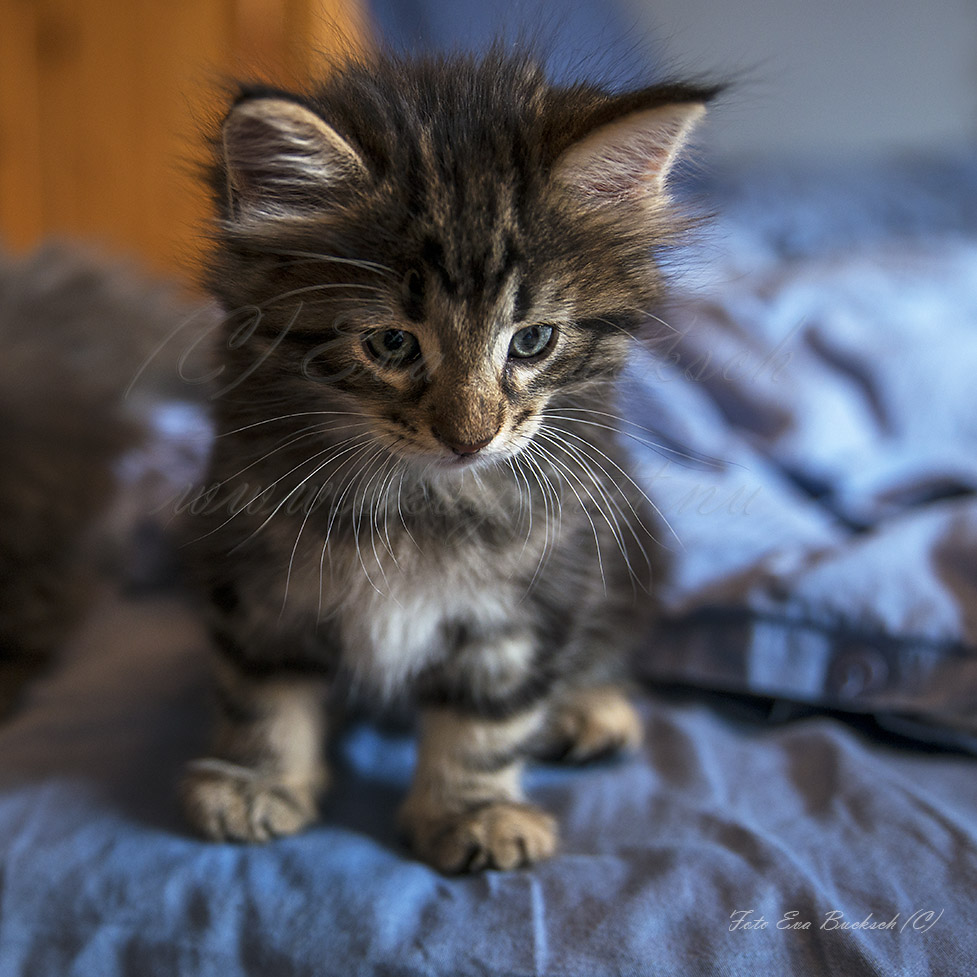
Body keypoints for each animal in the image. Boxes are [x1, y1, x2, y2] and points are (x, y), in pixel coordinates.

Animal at [181, 49, 708, 868]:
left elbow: (486, 721)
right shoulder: (255, 578)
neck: (415, 498)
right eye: (392, 343)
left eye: (533, 340)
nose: (470, 437)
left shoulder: (533, 594)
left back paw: (589, 708)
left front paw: (474, 812)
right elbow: (263, 693)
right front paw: (256, 781)